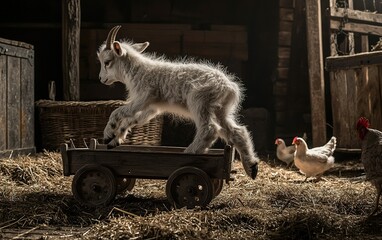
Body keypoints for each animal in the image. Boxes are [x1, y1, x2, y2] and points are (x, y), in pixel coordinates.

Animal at [97, 25, 260, 178]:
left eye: (107, 62)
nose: (101, 79)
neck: (137, 71)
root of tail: (229, 87)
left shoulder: (143, 98)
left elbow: (118, 112)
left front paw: (108, 134)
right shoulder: (152, 107)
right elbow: (133, 119)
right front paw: (115, 140)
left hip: (199, 102)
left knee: (210, 129)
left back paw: (189, 153)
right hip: (220, 109)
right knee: (237, 131)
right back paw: (251, 167)